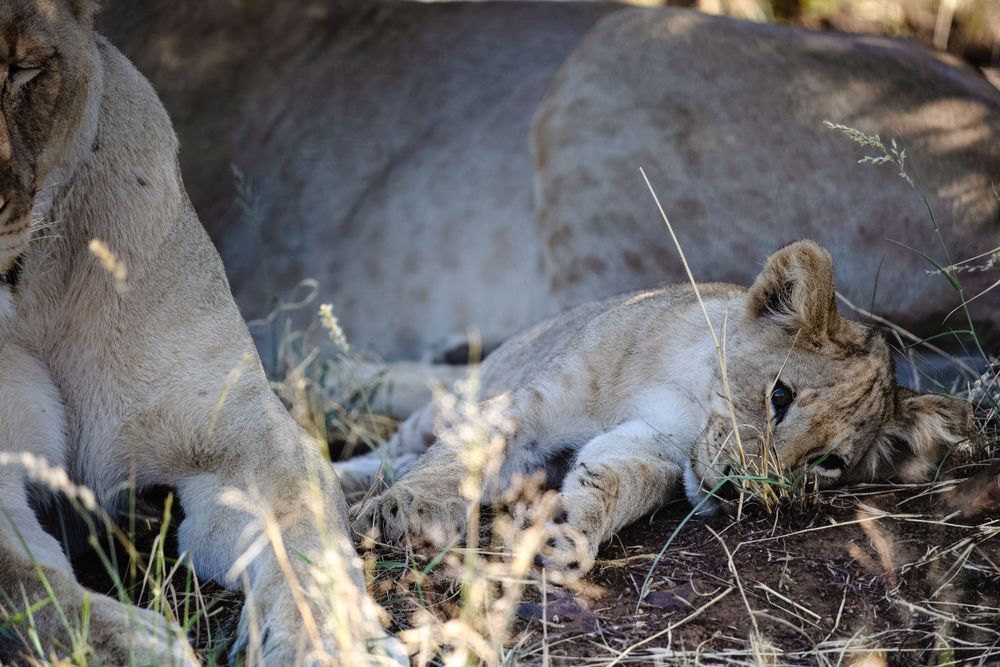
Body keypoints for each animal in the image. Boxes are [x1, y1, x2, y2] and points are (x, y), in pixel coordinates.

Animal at [0, 2, 403, 664]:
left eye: (21, 69)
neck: (31, 291)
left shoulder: (238, 434)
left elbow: (303, 533)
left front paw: (326, 640)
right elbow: (30, 586)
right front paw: (142, 645)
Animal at [343, 241, 971, 577]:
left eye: (830, 464)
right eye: (780, 396)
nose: (741, 493)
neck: (685, 392)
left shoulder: (652, 449)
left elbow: (614, 482)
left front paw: (565, 535)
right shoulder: (536, 405)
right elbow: (460, 455)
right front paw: (401, 511)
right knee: (396, 445)